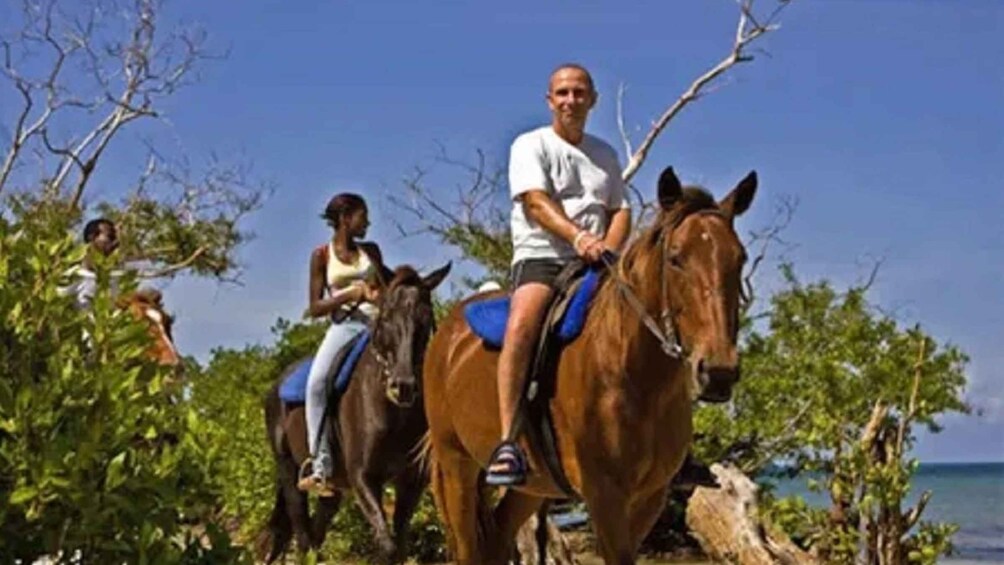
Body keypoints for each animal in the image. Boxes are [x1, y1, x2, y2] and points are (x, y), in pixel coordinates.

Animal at [259, 262, 451, 561]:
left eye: (425, 317)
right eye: (385, 317)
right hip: (289, 471)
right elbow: (387, 544)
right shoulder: (363, 477)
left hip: (332, 489)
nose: (403, 386)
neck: (392, 414)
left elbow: (399, 546)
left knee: (316, 532)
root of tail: (278, 383)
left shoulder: (411, 482)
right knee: (302, 534)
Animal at [419, 166, 755, 565]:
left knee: (499, 538)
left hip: (532, 485)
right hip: (456, 467)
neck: (634, 376)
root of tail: (447, 335)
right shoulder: (604, 495)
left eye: (739, 258)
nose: (718, 372)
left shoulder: (650, 496)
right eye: (676, 258)